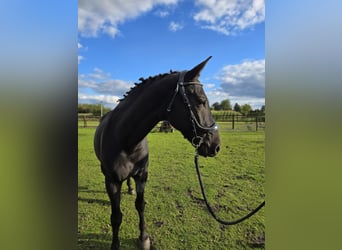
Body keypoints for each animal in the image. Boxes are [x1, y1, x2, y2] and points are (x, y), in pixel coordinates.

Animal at [95, 57, 220, 250]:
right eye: (201, 101)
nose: (216, 145)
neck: (125, 139)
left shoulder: (142, 176)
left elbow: (140, 205)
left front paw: (143, 238)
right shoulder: (112, 181)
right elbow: (116, 217)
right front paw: (115, 245)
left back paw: (129, 189)